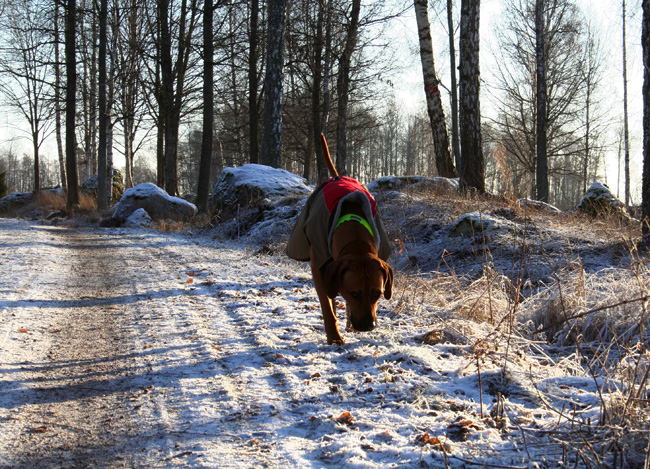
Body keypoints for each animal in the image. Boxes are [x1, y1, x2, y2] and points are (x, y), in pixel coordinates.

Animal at [288, 133, 390, 344]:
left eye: (377, 293)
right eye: (354, 293)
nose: (368, 326)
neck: (355, 240)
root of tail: (337, 176)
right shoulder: (319, 267)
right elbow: (327, 306)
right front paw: (334, 336)